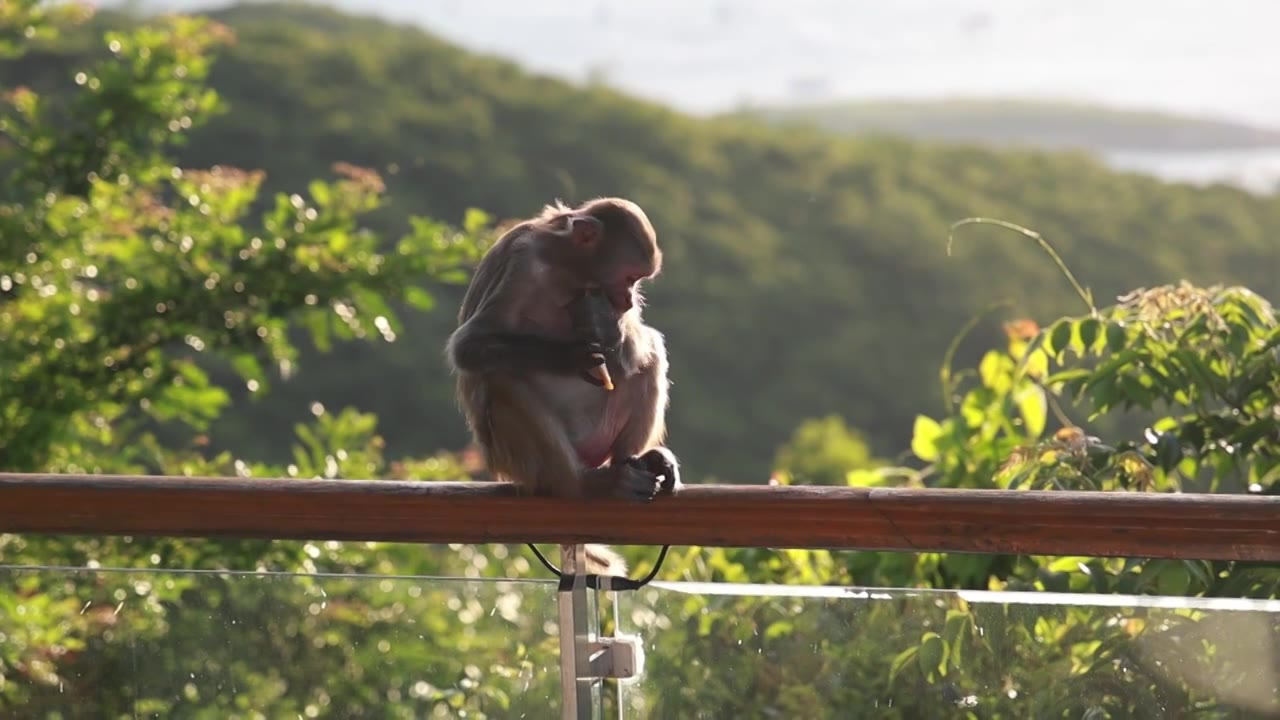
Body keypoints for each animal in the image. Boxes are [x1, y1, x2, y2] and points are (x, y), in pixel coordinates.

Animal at [445, 194, 680, 571]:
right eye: (630, 277)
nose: (630, 299)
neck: (565, 271)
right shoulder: (522, 265)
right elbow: (468, 347)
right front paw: (572, 357)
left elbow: (630, 352)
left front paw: (606, 327)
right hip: (517, 460)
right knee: (502, 378)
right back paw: (584, 484)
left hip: (601, 434)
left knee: (649, 353)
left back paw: (635, 462)